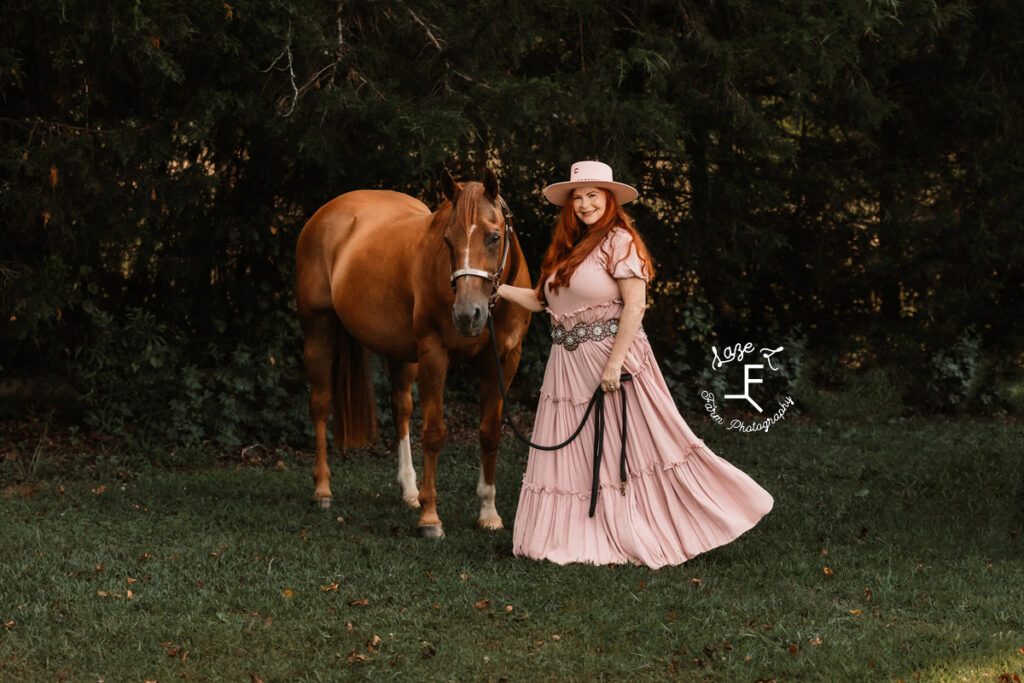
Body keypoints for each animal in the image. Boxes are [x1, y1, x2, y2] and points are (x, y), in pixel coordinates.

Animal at [290, 167, 524, 536]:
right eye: (447, 240)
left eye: (494, 236)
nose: (467, 315)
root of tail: (326, 212)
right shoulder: (434, 355)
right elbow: (434, 433)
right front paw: (430, 518)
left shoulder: (503, 362)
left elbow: (489, 434)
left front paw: (488, 513)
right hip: (318, 332)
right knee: (320, 404)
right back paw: (323, 491)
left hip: (400, 353)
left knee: (401, 408)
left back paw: (410, 491)